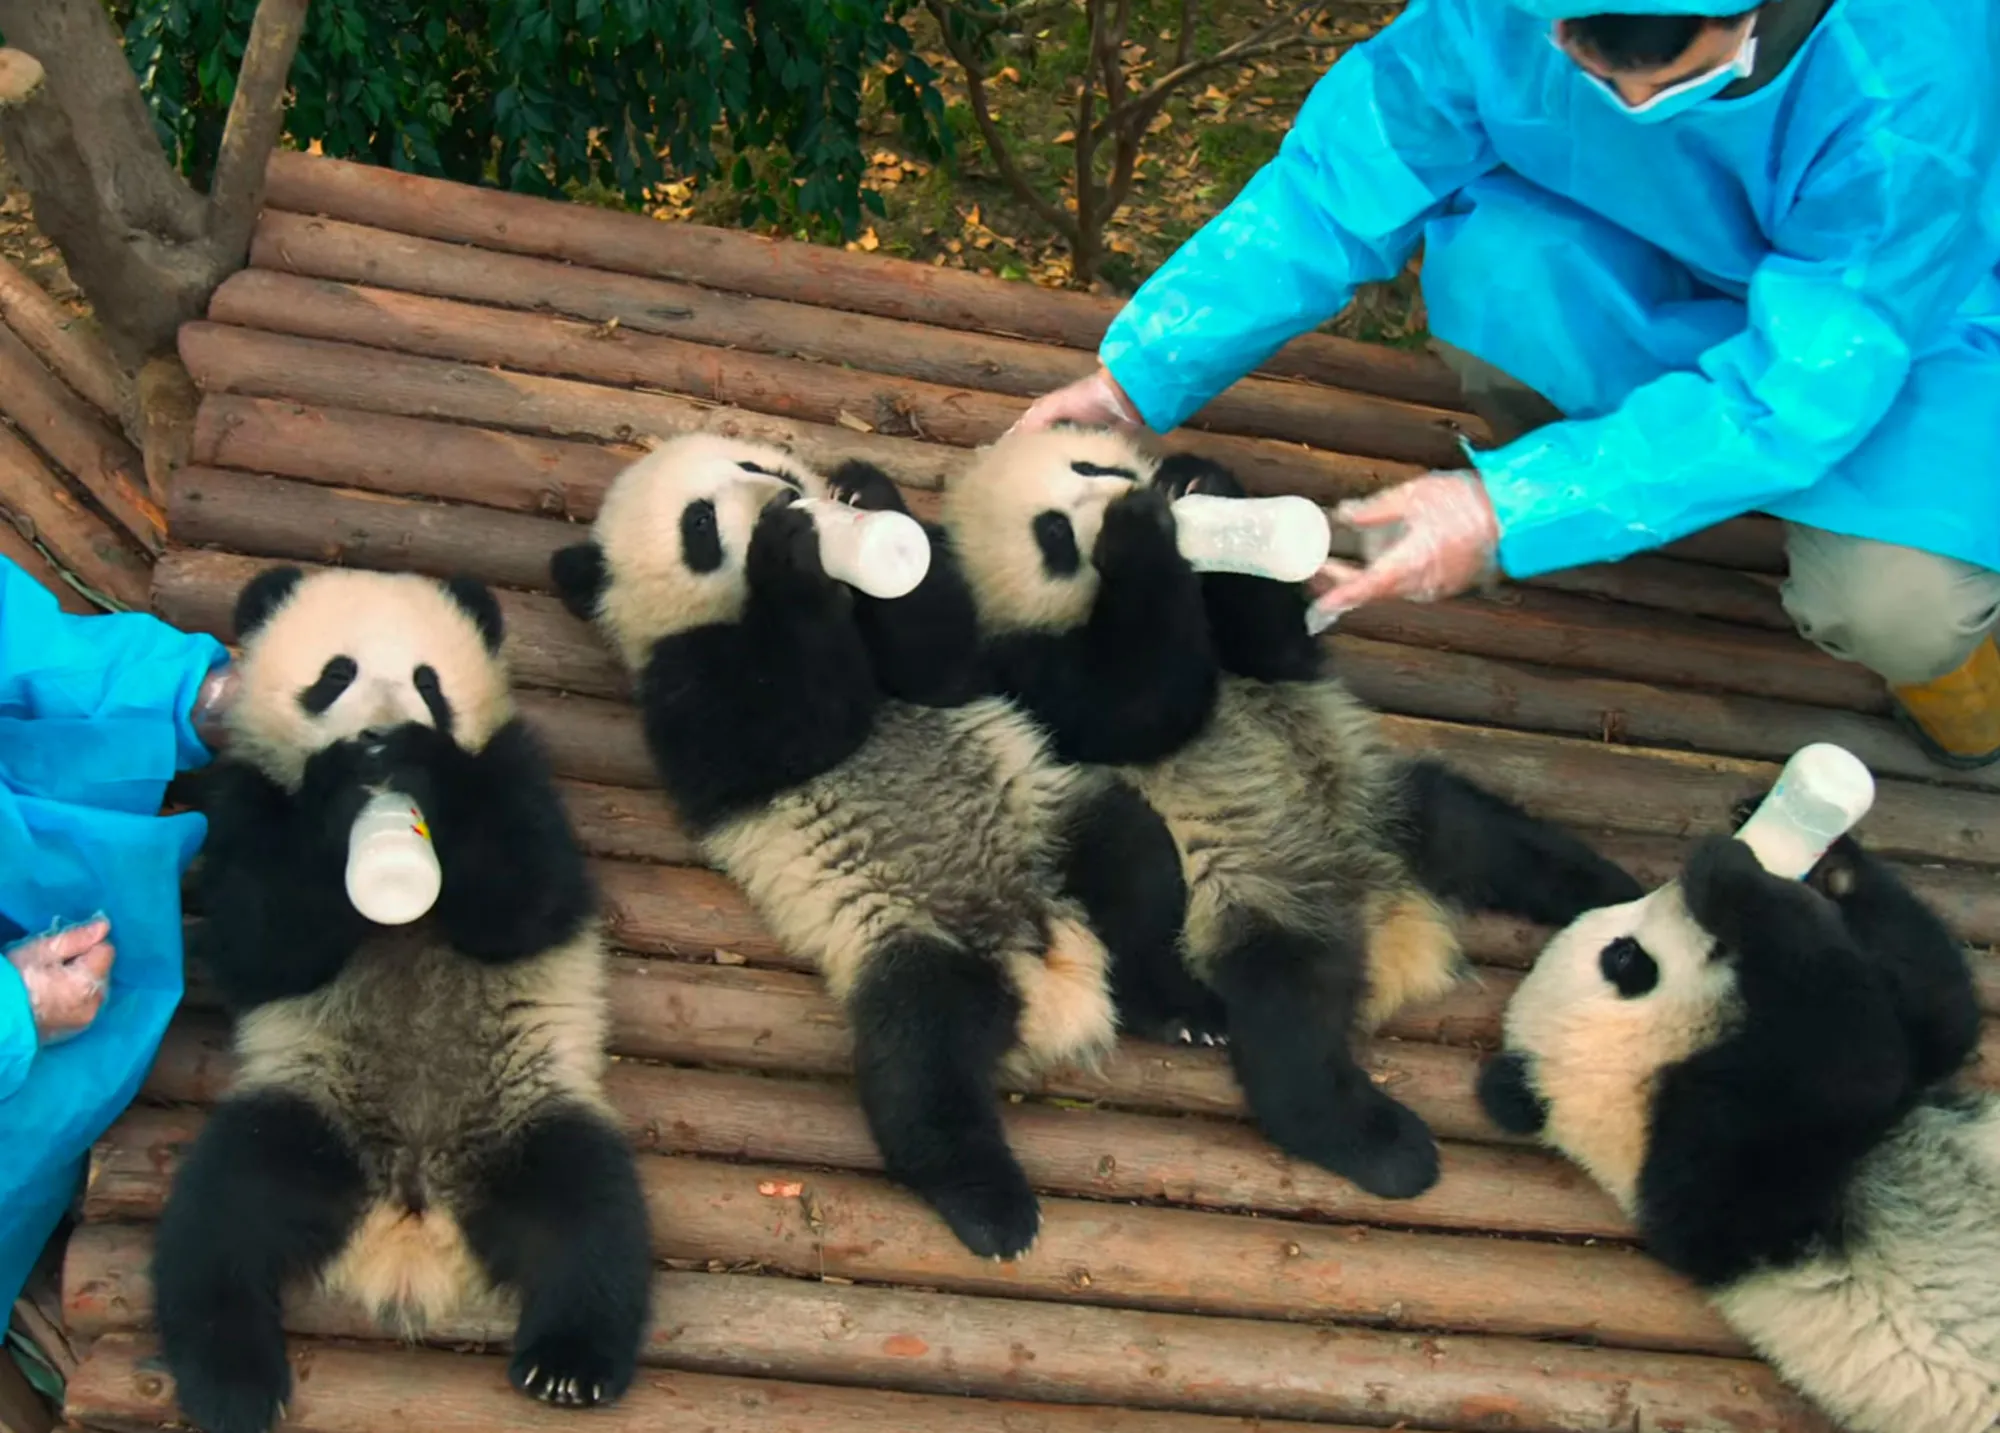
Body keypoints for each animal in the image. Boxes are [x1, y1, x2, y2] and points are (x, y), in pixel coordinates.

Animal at [151, 567, 652, 1433]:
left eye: (428, 682)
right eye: (336, 674)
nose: (383, 736)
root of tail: (411, 1217)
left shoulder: (513, 773)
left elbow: (526, 901)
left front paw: (422, 767)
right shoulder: (244, 799)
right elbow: (262, 941)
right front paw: (337, 786)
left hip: (525, 1115)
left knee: (589, 1215)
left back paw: (567, 1364)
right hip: (308, 1110)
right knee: (220, 1218)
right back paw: (234, 1381)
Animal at [548, 433, 1192, 1262]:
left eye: (759, 466)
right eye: (699, 524)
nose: (781, 498)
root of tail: (1045, 966)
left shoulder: (944, 656)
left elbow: (936, 659)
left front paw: (866, 493)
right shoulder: (683, 687)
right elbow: (793, 728)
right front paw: (791, 556)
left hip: (1051, 818)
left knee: (1136, 864)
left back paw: (1178, 1006)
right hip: (901, 938)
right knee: (919, 1062)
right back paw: (993, 1208)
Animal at [936, 425, 1644, 1199]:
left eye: (1088, 463)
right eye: (1055, 534)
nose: (1125, 489)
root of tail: (1388, 913)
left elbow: (1274, 647)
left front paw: (1197, 480)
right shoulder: (1030, 671)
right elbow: (1137, 709)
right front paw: (1139, 535)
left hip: (1383, 802)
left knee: (1491, 836)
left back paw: (1622, 894)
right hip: (1253, 900)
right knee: (1285, 1021)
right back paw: (1381, 1144)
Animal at [1478, 824, 2000, 1433]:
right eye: (1624, 955)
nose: (1675, 887)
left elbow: (1934, 1020)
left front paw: (1823, 856)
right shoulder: (1710, 1165)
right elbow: (1858, 1057)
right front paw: (1733, 876)